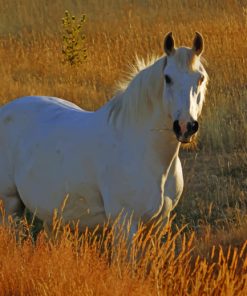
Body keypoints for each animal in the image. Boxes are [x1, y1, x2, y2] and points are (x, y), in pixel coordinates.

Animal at [0, 33, 208, 238]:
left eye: (200, 78)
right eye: (168, 78)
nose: (185, 126)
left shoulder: (159, 223)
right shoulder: (124, 222)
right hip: (11, 204)